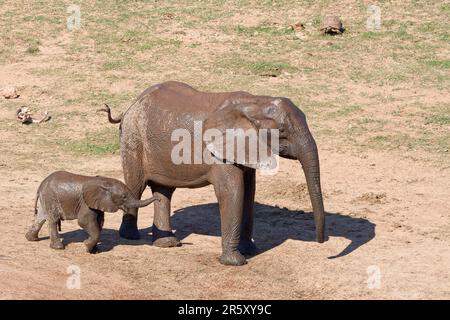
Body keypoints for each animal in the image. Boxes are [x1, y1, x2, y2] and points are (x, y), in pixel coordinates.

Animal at [25, 171, 160, 254]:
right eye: (124, 197)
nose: (158, 198)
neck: (104, 182)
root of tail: (41, 184)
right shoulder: (85, 203)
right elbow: (84, 221)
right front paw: (86, 246)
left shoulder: (99, 204)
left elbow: (99, 223)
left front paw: (94, 250)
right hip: (51, 197)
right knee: (52, 219)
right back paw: (58, 247)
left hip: (46, 198)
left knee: (41, 218)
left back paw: (31, 239)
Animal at [101, 80, 326, 264]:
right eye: (282, 131)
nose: (321, 241)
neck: (255, 102)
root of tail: (131, 105)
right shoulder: (219, 154)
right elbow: (232, 192)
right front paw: (236, 262)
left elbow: (248, 193)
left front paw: (250, 250)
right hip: (133, 138)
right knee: (135, 185)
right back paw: (130, 236)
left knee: (163, 191)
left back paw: (167, 243)